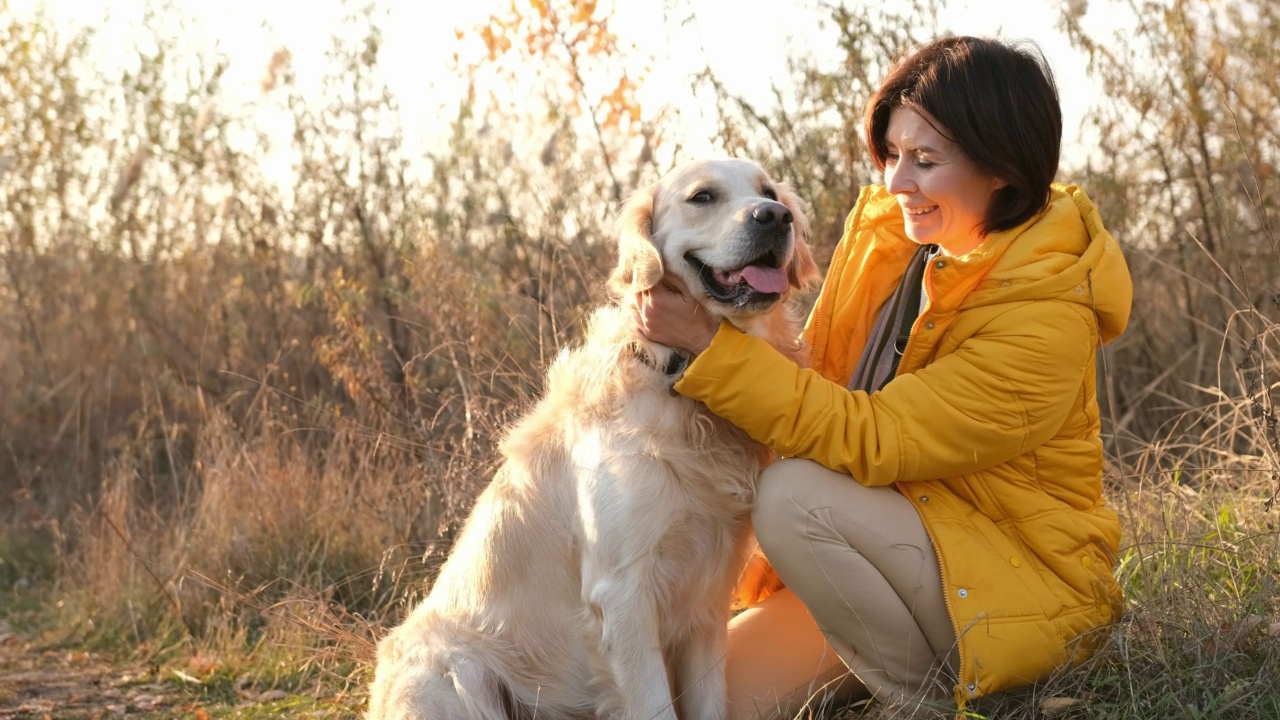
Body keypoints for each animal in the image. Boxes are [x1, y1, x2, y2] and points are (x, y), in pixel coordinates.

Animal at [368, 158, 819, 717]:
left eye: (769, 192)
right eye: (703, 197)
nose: (774, 217)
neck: (675, 379)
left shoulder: (706, 603)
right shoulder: (623, 593)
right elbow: (654, 704)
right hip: (455, 670)